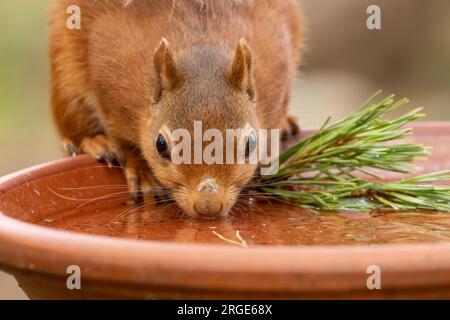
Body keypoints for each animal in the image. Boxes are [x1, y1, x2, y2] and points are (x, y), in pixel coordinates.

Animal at [49, 0, 304, 218]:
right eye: (161, 145)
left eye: (250, 144)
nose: (208, 206)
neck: (200, 39)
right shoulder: (108, 82)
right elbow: (121, 138)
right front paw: (140, 171)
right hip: (65, 71)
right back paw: (95, 141)